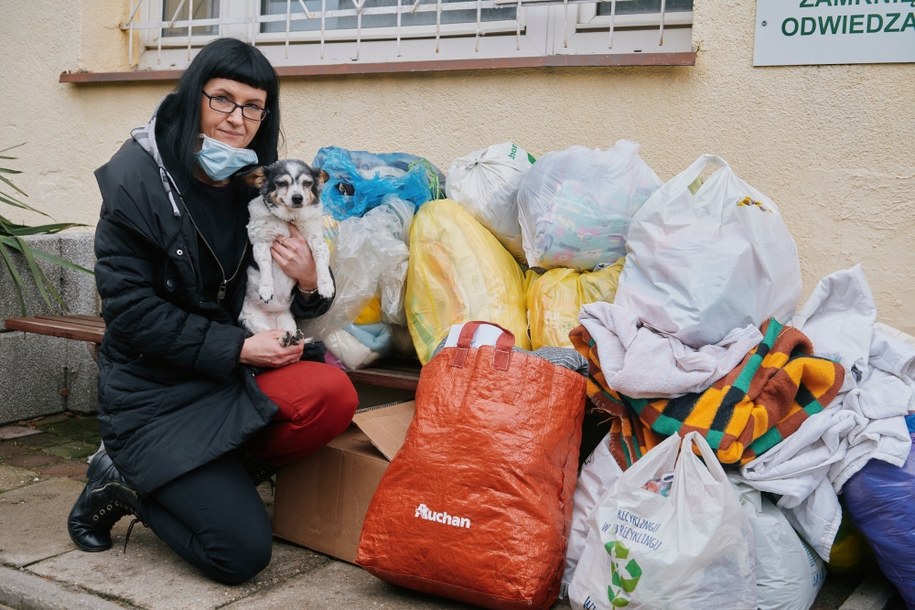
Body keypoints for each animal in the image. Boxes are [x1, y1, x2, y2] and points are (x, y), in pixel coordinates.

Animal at [238, 157, 334, 338]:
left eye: (308, 183)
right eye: (282, 183)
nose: (298, 197)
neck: (289, 219)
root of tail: (273, 314)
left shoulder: (316, 240)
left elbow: (321, 261)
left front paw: (326, 285)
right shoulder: (261, 243)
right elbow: (265, 266)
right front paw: (266, 288)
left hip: (287, 322)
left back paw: (291, 339)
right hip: (252, 320)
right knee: (267, 334)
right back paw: (284, 339)